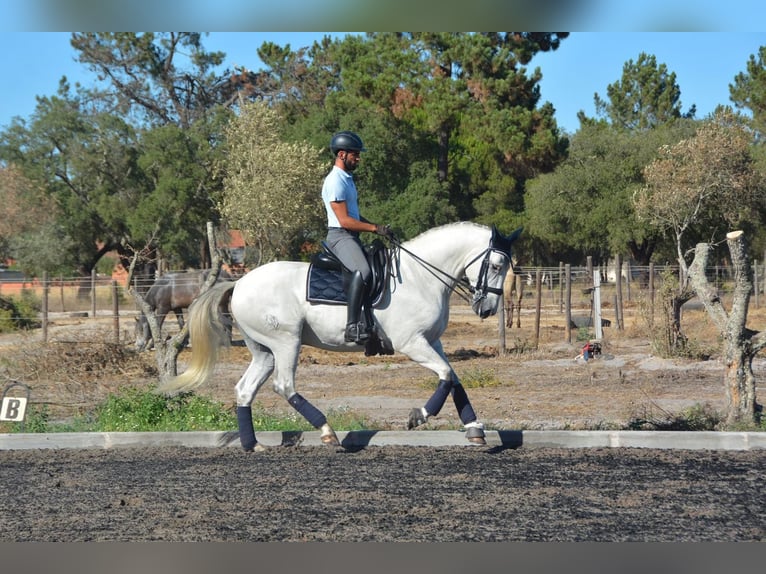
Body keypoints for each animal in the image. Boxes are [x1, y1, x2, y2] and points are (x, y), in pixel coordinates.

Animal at [159, 223, 524, 452]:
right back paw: (327, 432)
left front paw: (475, 429)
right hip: (286, 342)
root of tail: (239, 283)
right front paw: (418, 416)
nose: (487, 308)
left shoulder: (432, 342)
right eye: (495, 265)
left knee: (245, 389)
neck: (422, 276)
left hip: (264, 350)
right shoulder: (412, 343)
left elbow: (454, 378)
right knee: (284, 386)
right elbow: (446, 375)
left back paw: (253, 445)